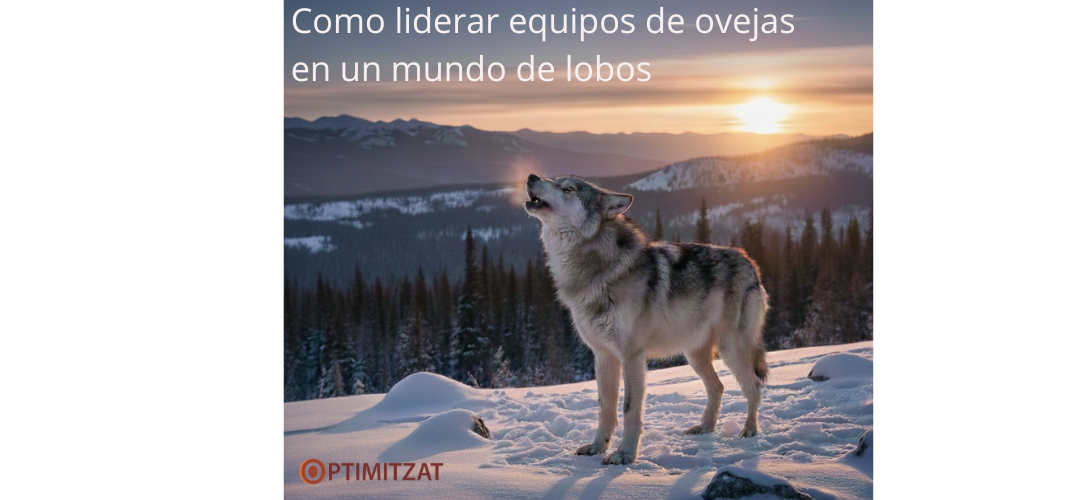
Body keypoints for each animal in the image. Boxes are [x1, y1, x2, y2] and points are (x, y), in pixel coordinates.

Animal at [524, 174, 769, 465]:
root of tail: (750, 262)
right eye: (555, 180)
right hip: (694, 355)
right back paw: (704, 428)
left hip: (730, 349)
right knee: (718, 388)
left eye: (567, 188)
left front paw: (624, 455)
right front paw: (596, 448)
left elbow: (629, 409)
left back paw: (750, 430)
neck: (596, 272)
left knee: (754, 386)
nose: (531, 176)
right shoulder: (603, 356)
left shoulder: (632, 357)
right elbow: (605, 408)